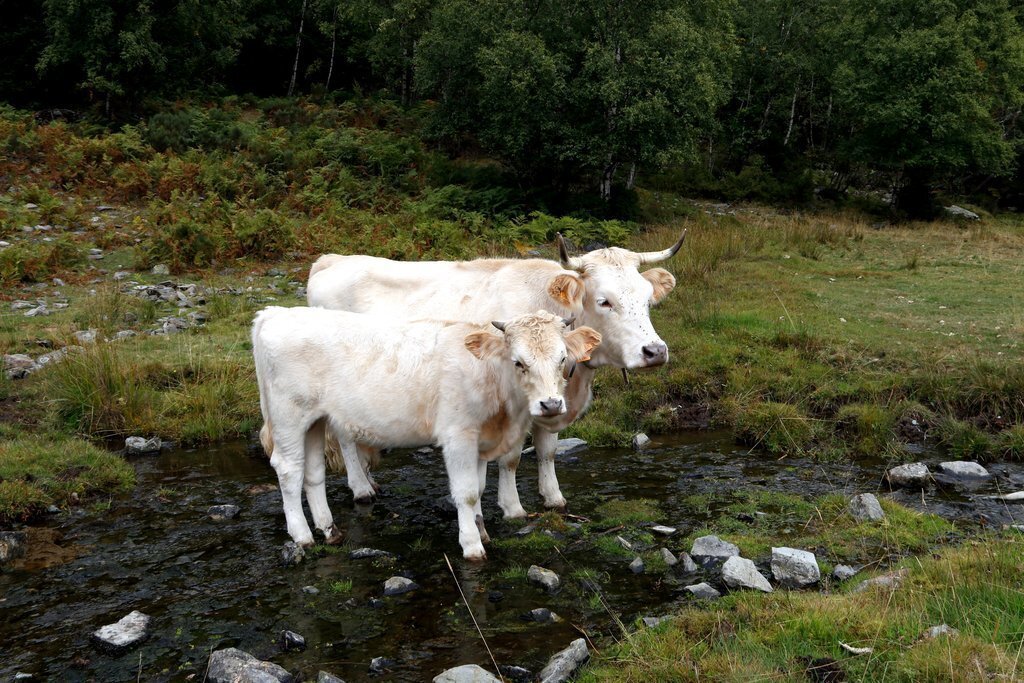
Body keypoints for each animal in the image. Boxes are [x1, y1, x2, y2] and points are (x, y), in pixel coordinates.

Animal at [252, 307, 601, 559]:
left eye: (562, 358)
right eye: (519, 362)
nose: (551, 404)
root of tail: (274, 313)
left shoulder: (480, 438)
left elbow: (479, 486)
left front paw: (481, 530)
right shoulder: (458, 436)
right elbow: (467, 491)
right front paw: (472, 545)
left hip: (315, 420)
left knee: (312, 472)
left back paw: (328, 530)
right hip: (288, 417)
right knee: (289, 470)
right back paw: (302, 536)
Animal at [299, 231, 684, 519]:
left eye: (648, 298)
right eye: (605, 301)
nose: (655, 351)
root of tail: (332, 260)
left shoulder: (552, 397)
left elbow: (547, 451)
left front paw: (553, 497)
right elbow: (511, 457)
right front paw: (512, 507)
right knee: (344, 436)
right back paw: (362, 489)